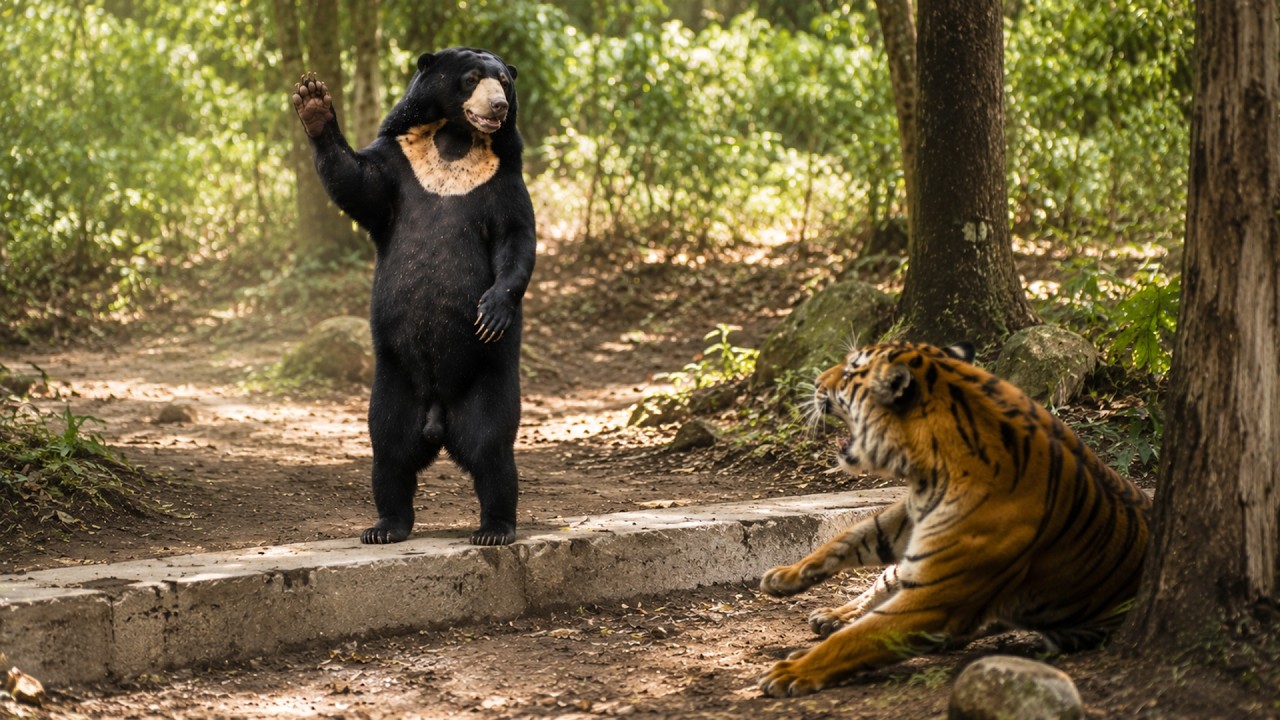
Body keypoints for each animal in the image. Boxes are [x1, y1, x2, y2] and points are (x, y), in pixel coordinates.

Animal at [290, 47, 536, 546]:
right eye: (472, 78)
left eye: (505, 82)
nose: (498, 107)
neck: (454, 139)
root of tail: (438, 417)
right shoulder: (400, 161)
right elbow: (357, 183)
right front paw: (313, 100)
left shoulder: (503, 177)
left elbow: (517, 236)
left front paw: (491, 313)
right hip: (393, 380)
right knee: (389, 450)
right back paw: (385, 526)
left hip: (486, 377)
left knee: (492, 450)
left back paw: (494, 529)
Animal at [756, 341, 1151, 697]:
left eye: (851, 371)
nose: (816, 380)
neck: (930, 471)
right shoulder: (914, 517)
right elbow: (853, 535)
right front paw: (785, 576)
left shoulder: (936, 598)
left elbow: (855, 639)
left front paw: (791, 672)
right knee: (884, 581)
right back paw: (832, 615)